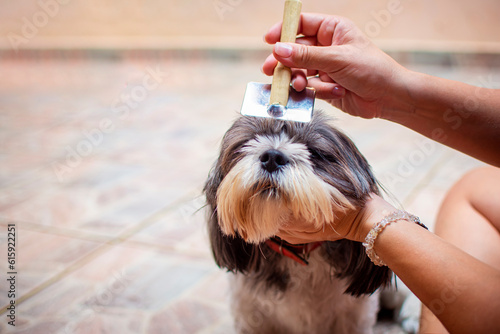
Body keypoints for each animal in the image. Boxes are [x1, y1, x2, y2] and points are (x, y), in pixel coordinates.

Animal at [203, 113, 390, 334]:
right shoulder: (251, 317)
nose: (272, 156)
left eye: (314, 152)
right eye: (249, 142)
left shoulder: (354, 319)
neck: (297, 255)